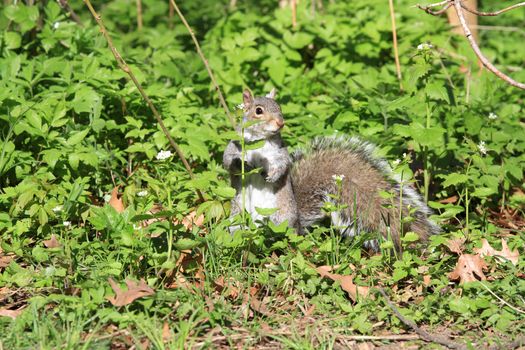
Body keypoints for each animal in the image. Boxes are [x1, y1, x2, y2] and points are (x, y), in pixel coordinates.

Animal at [221, 89, 438, 250]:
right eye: (258, 111)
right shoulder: (233, 146)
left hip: (280, 218)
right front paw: (241, 163)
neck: (260, 143)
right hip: (237, 218)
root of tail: (298, 224)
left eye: (279, 108)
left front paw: (272, 176)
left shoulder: (280, 153)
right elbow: (228, 162)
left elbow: (283, 165)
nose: (280, 123)